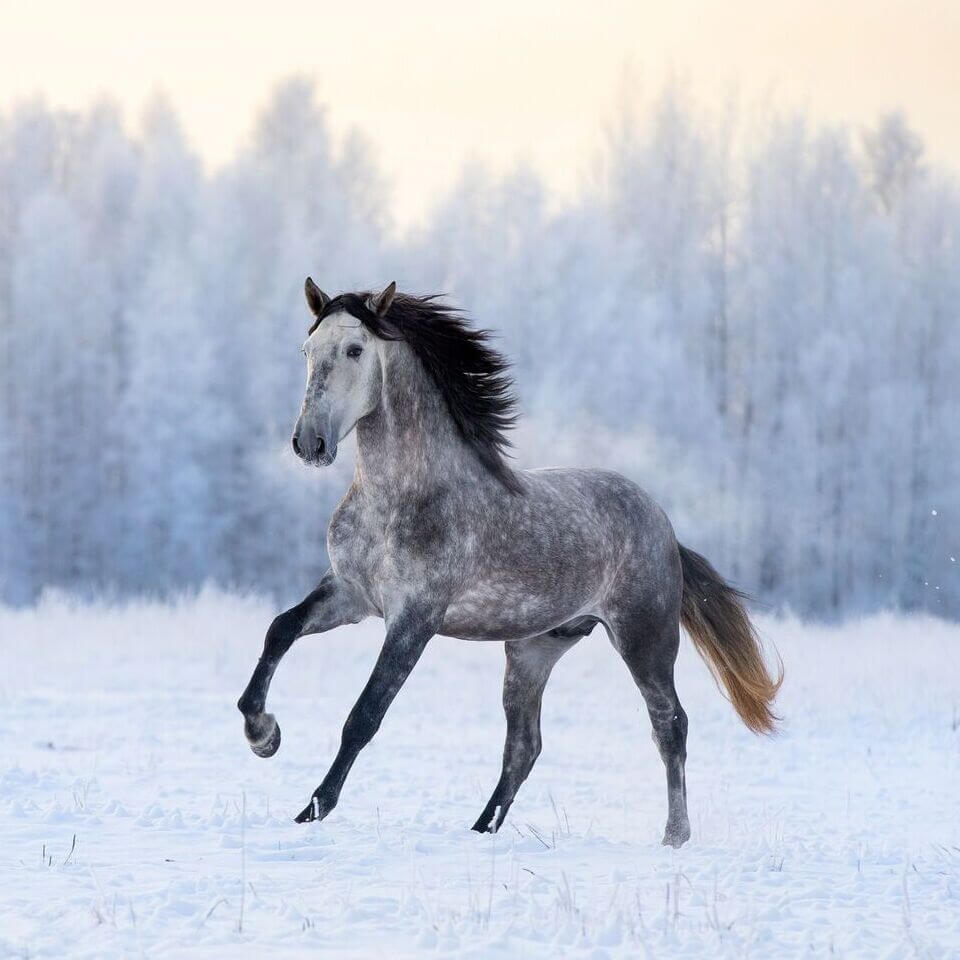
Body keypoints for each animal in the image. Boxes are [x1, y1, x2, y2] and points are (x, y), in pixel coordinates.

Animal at [237, 279, 782, 847]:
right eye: (307, 351)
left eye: (354, 350)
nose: (309, 443)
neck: (401, 498)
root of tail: (665, 527)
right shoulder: (349, 594)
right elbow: (280, 629)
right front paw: (264, 735)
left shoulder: (414, 619)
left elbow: (364, 715)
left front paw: (312, 810)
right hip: (532, 651)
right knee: (524, 747)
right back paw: (482, 829)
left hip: (644, 638)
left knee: (669, 724)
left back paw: (674, 836)